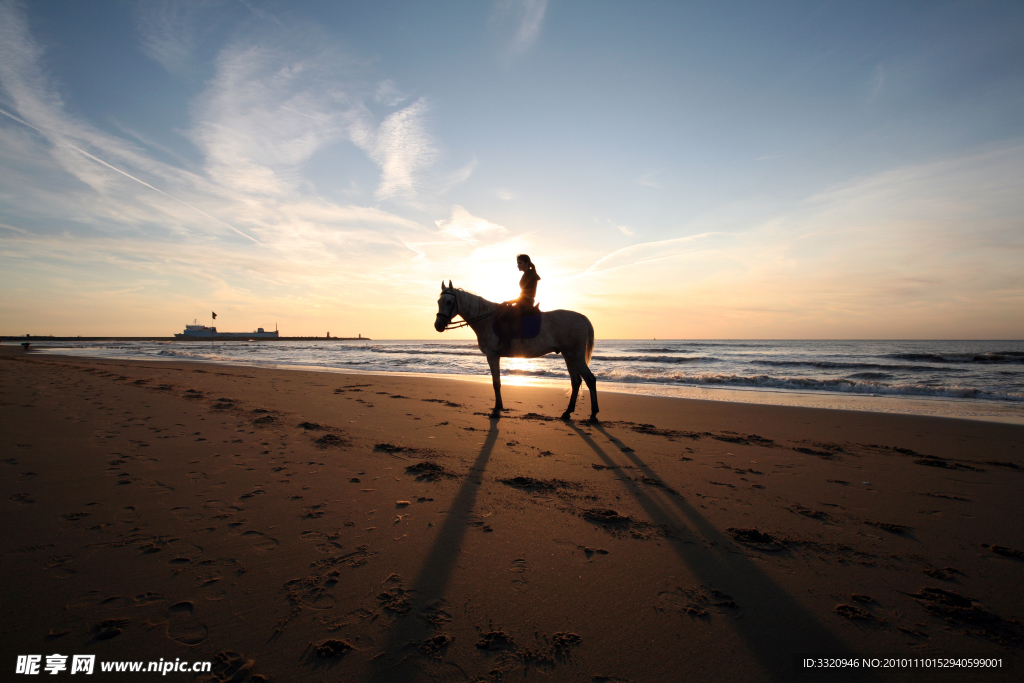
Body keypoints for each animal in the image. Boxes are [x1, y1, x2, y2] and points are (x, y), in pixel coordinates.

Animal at [434, 278, 598, 421]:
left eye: (449, 302)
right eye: (439, 302)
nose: (438, 325)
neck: (486, 319)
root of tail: (582, 317)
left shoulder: (492, 355)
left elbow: (496, 383)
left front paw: (497, 409)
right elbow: (497, 382)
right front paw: (499, 407)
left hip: (575, 355)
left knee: (590, 379)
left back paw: (593, 415)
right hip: (568, 355)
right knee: (576, 382)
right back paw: (567, 412)